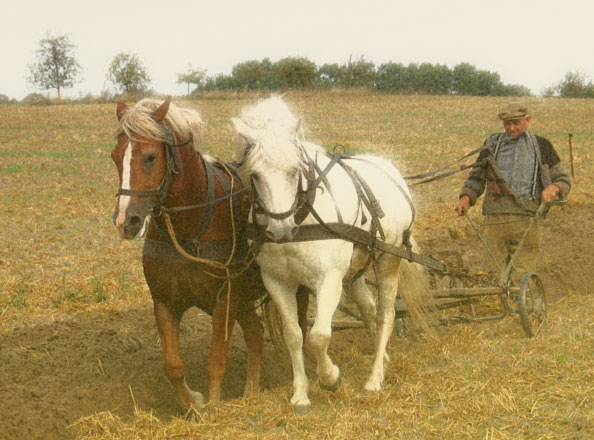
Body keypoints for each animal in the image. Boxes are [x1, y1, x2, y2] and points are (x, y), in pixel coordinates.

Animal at [110, 98, 294, 410]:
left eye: (150, 157)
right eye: (115, 156)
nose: (126, 222)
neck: (190, 226)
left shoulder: (225, 299)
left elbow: (216, 359)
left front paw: (214, 406)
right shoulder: (164, 301)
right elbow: (173, 366)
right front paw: (193, 404)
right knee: (256, 334)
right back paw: (251, 392)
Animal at [230, 96, 416, 416]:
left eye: (294, 171)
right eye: (255, 175)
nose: (281, 229)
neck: (303, 219)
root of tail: (391, 171)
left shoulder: (328, 280)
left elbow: (319, 336)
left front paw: (331, 378)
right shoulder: (277, 282)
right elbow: (294, 335)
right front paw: (300, 394)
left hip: (387, 261)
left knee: (386, 315)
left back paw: (375, 378)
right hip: (355, 270)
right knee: (369, 309)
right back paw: (382, 358)